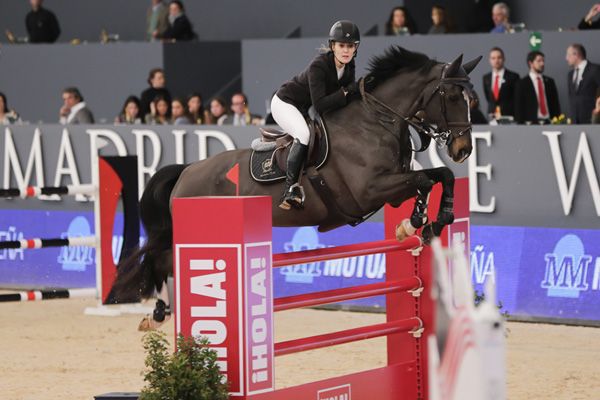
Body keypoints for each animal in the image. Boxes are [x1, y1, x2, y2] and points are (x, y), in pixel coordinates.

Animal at [112, 47, 482, 328]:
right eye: (452, 95)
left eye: (473, 99)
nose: (463, 149)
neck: (377, 122)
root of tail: (186, 171)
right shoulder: (369, 191)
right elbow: (425, 179)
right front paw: (419, 220)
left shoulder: (392, 187)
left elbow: (439, 176)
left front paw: (427, 221)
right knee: (162, 260)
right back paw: (157, 314)